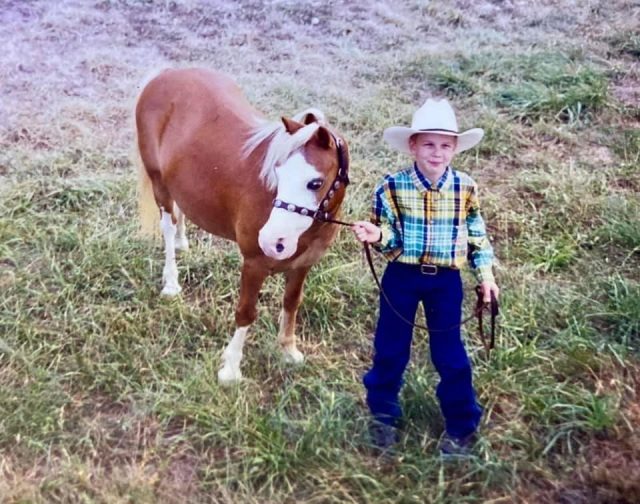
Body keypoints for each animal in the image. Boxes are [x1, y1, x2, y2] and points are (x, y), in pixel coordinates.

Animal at [135, 68, 350, 384]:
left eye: (315, 182)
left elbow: (291, 302)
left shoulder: (303, 265)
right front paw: (231, 369)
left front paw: (288, 350)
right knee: (168, 226)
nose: (273, 241)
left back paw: (183, 243)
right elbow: (246, 312)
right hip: (158, 181)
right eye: (277, 173)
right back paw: (171, 282)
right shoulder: (254, 264)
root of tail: (164, 74)